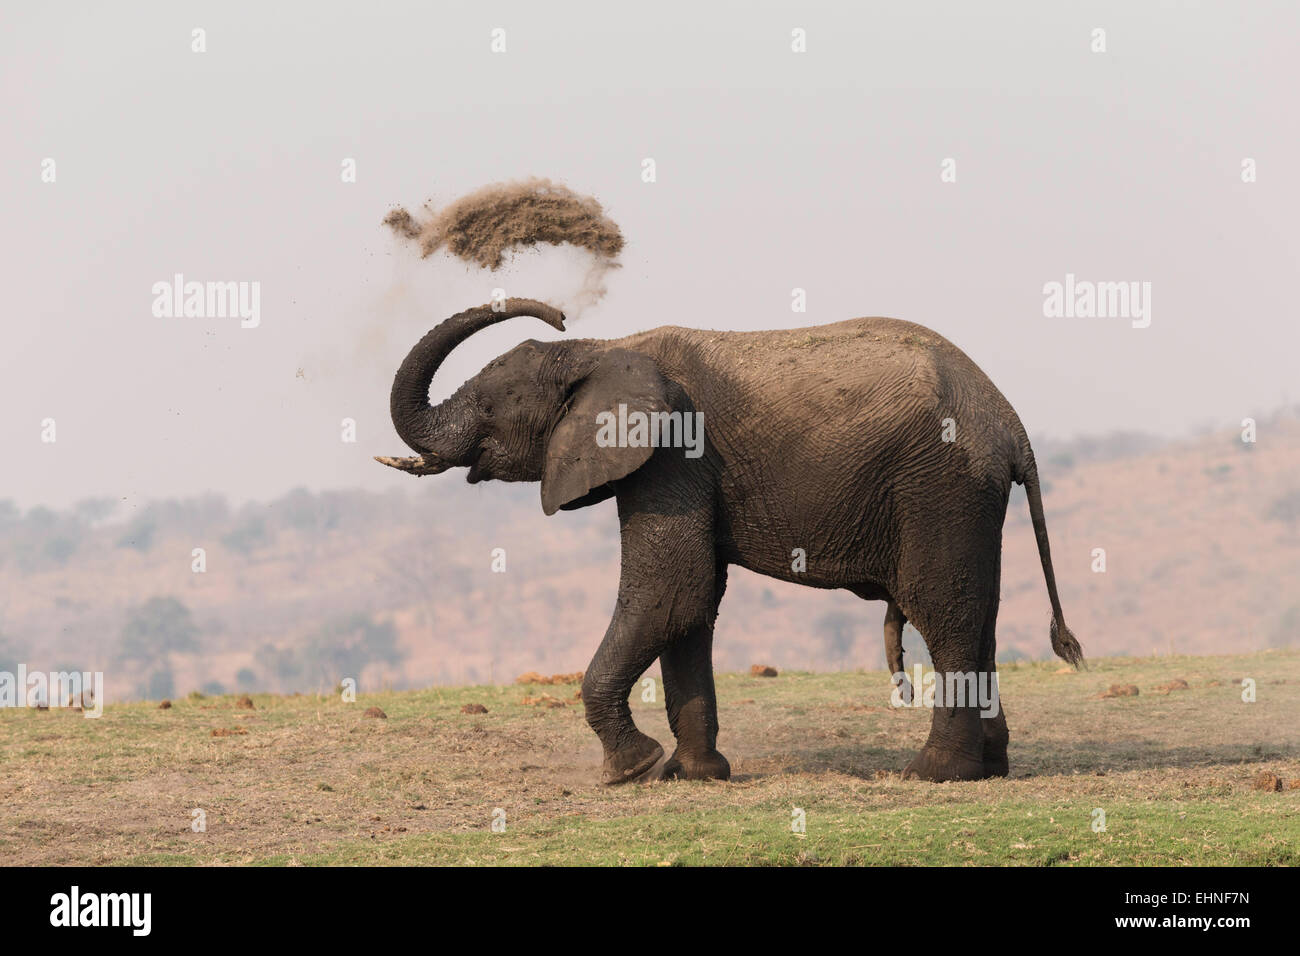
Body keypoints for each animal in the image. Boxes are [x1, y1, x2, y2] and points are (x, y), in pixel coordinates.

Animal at [379, 299, 1086, 785]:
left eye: (489, 406)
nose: (557, 312)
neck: (603, 349)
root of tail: (1010, 423)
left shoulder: (673, 456)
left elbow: (671, 592)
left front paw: (631, 771)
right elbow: (688, 608)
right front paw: (692, 776)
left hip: (939, 485)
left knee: (943, 612)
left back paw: (931, 774)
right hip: (963, 498)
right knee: (977, 612)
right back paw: (990, 767)